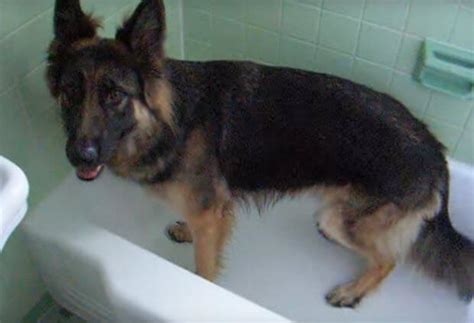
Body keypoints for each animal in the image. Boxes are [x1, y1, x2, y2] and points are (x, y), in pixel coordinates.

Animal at [46, 0, 472, 308]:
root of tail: (436, 152)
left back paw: (353, 291)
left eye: (115, 96)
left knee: (390, 259)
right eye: (69, 93)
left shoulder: (208, 213)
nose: (78, 156)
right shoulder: (211, 208)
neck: (172, 121)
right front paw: (184, 229)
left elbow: (203, 267)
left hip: (343, 219)